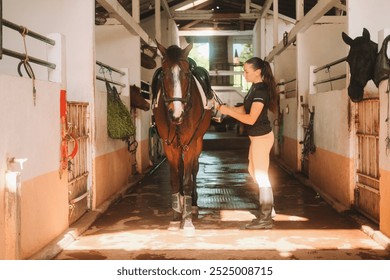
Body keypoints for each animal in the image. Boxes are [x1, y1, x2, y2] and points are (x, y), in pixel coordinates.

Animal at [153, 41, 213, 234]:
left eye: (186, 74)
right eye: (164, 74)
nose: (176, 113)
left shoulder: (190, 144)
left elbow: (186, 180)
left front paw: (186, 221)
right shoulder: (169, 146)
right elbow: (174, 180)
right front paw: (175, 216)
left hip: (197, 143)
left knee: (194, 168)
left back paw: (192, 204)